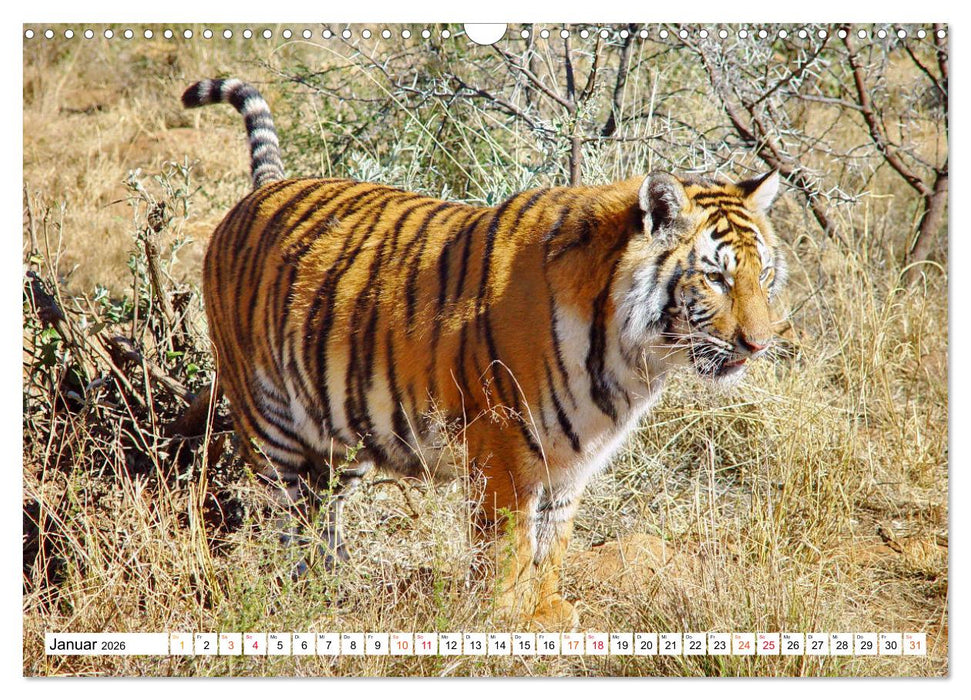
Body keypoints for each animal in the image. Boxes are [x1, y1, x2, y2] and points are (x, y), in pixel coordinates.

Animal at [182, 78, 786, 629]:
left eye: (764, 275)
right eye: (715, 278)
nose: (758, 345)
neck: (631, 355)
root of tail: (267, 187)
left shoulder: (574, 457)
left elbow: (552, 540)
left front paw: (546, 610)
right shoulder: (504, 442)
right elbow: (507, 543)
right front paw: (503, 616)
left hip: (339, 433)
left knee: (321, 510)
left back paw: (334, 588)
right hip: (267, 418)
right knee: (282, 515)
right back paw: (296, 592)